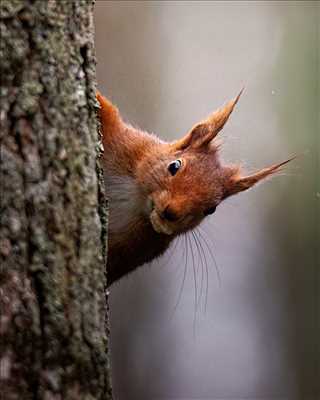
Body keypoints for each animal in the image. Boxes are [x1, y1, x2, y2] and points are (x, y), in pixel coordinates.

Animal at [97, 91, 290, 284]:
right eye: (174, 166)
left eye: (211, 209)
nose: (171, 213)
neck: (135, 200)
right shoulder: (129, 143)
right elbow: (107, 111)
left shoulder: (137, 249)